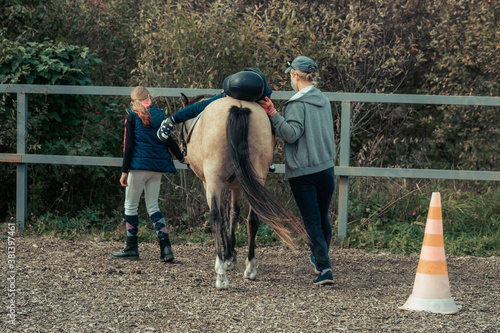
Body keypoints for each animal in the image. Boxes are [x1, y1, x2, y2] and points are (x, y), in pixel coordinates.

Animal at [178, 92, 306, 288]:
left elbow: (222, 216)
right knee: (253, 219)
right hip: (256, 178)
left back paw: (221, 274)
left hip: (214, 181)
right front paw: (232, 255)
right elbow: (233, 213)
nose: (183, 156)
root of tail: (237, 108)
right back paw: (250, 268)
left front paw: (227, 256)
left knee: (215, 217)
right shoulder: (237, 186)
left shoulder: (210, 184)